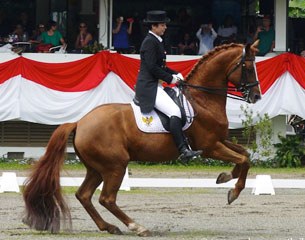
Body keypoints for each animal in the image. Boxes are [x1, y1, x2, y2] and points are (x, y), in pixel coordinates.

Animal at [22, 40, 260, 236]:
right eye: (248, 68)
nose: (256, 96)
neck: (203, 99)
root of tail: (80, 122)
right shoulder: (209, 146)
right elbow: (243, 160)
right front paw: (233, 192)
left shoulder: (220, 140)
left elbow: (245, 155)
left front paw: (225, 177)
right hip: (115, 165)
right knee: (106, 198)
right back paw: (137, 227)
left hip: (97, 168)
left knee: (84, 195)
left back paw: (109, 227)